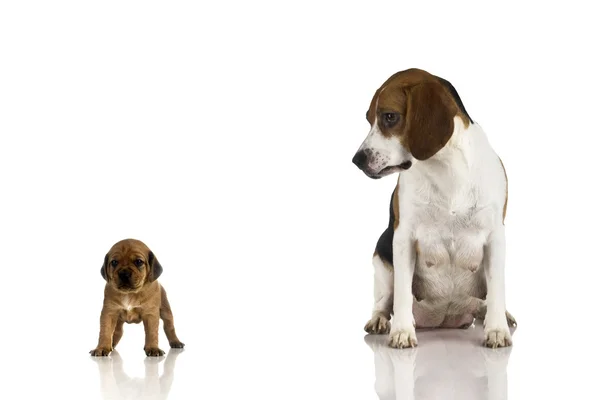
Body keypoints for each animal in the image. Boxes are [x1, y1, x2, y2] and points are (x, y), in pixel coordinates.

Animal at [352, 68, 516, 346]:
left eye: (389, 117)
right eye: (368, 119)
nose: (357, 160)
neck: (446, 168)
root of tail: (443, 319)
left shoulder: (495, 237)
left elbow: (497, 288)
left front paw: (496, 329)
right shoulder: (403, 238)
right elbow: (403, 293)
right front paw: (402, 331)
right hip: (381, 260)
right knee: (384, 302)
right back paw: (380, 321)